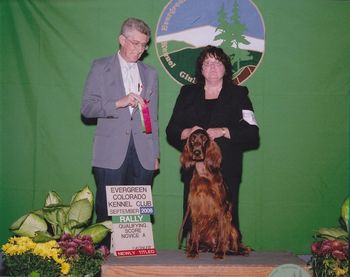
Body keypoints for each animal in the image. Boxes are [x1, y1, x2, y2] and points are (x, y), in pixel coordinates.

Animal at [180, 128, 249, 258]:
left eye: (204, 138)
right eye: (192, 139)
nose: (197, 152)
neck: (203, 175)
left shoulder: (222, 209)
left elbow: (222, 234)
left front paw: (220, 252)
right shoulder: (196, 208)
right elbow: (195, 233)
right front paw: (193, 251)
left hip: (232, 227)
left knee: (234, 244)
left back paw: (232, 251)